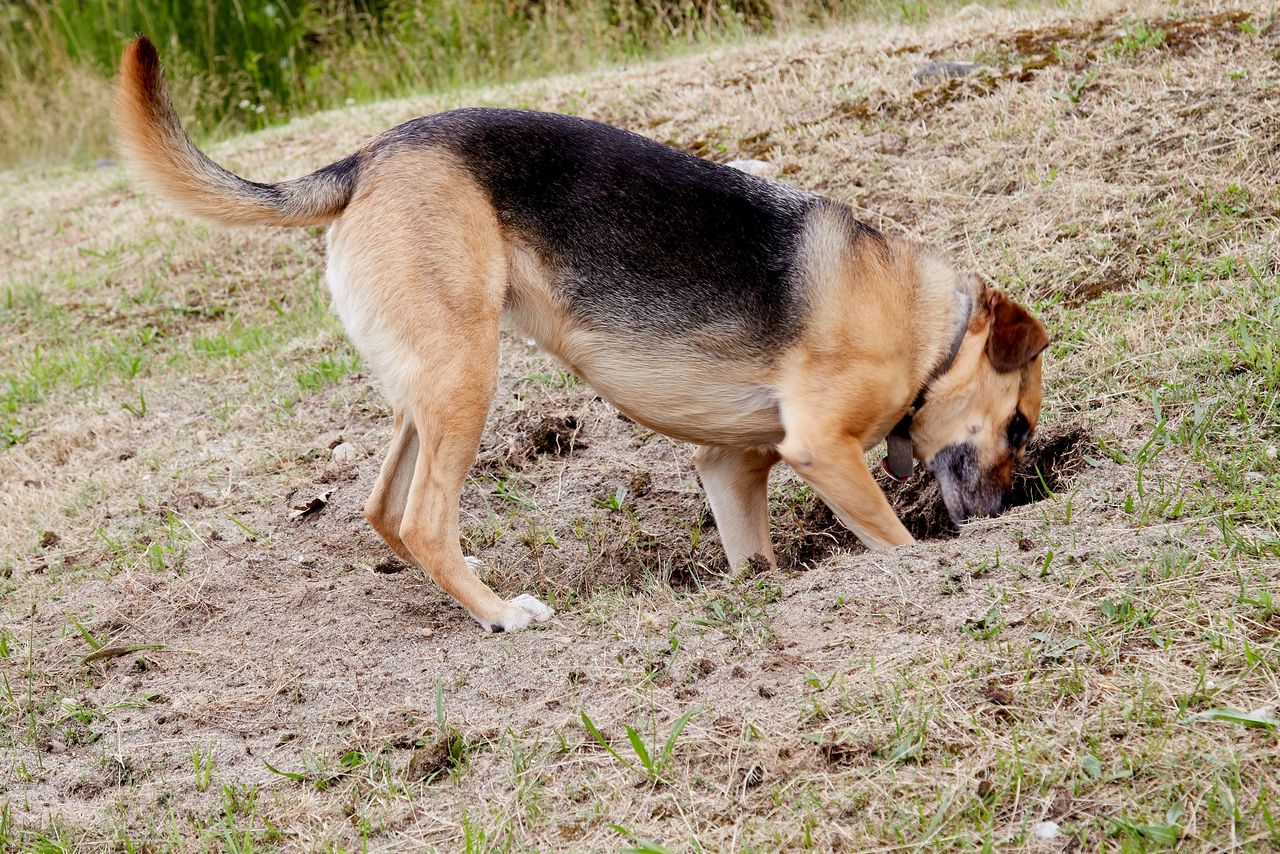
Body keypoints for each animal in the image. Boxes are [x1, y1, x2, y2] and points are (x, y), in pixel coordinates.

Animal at [115, 36, 1044, 632]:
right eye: (1021, 429)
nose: (1005, 515)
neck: (929, 329)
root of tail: (367, 157)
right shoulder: (824, 449)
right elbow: (893, 540)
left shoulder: (731, 466)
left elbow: (755, 555)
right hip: (467, 376)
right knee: (423, 520)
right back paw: (499, 615)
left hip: (427, 385)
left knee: (387, 512)